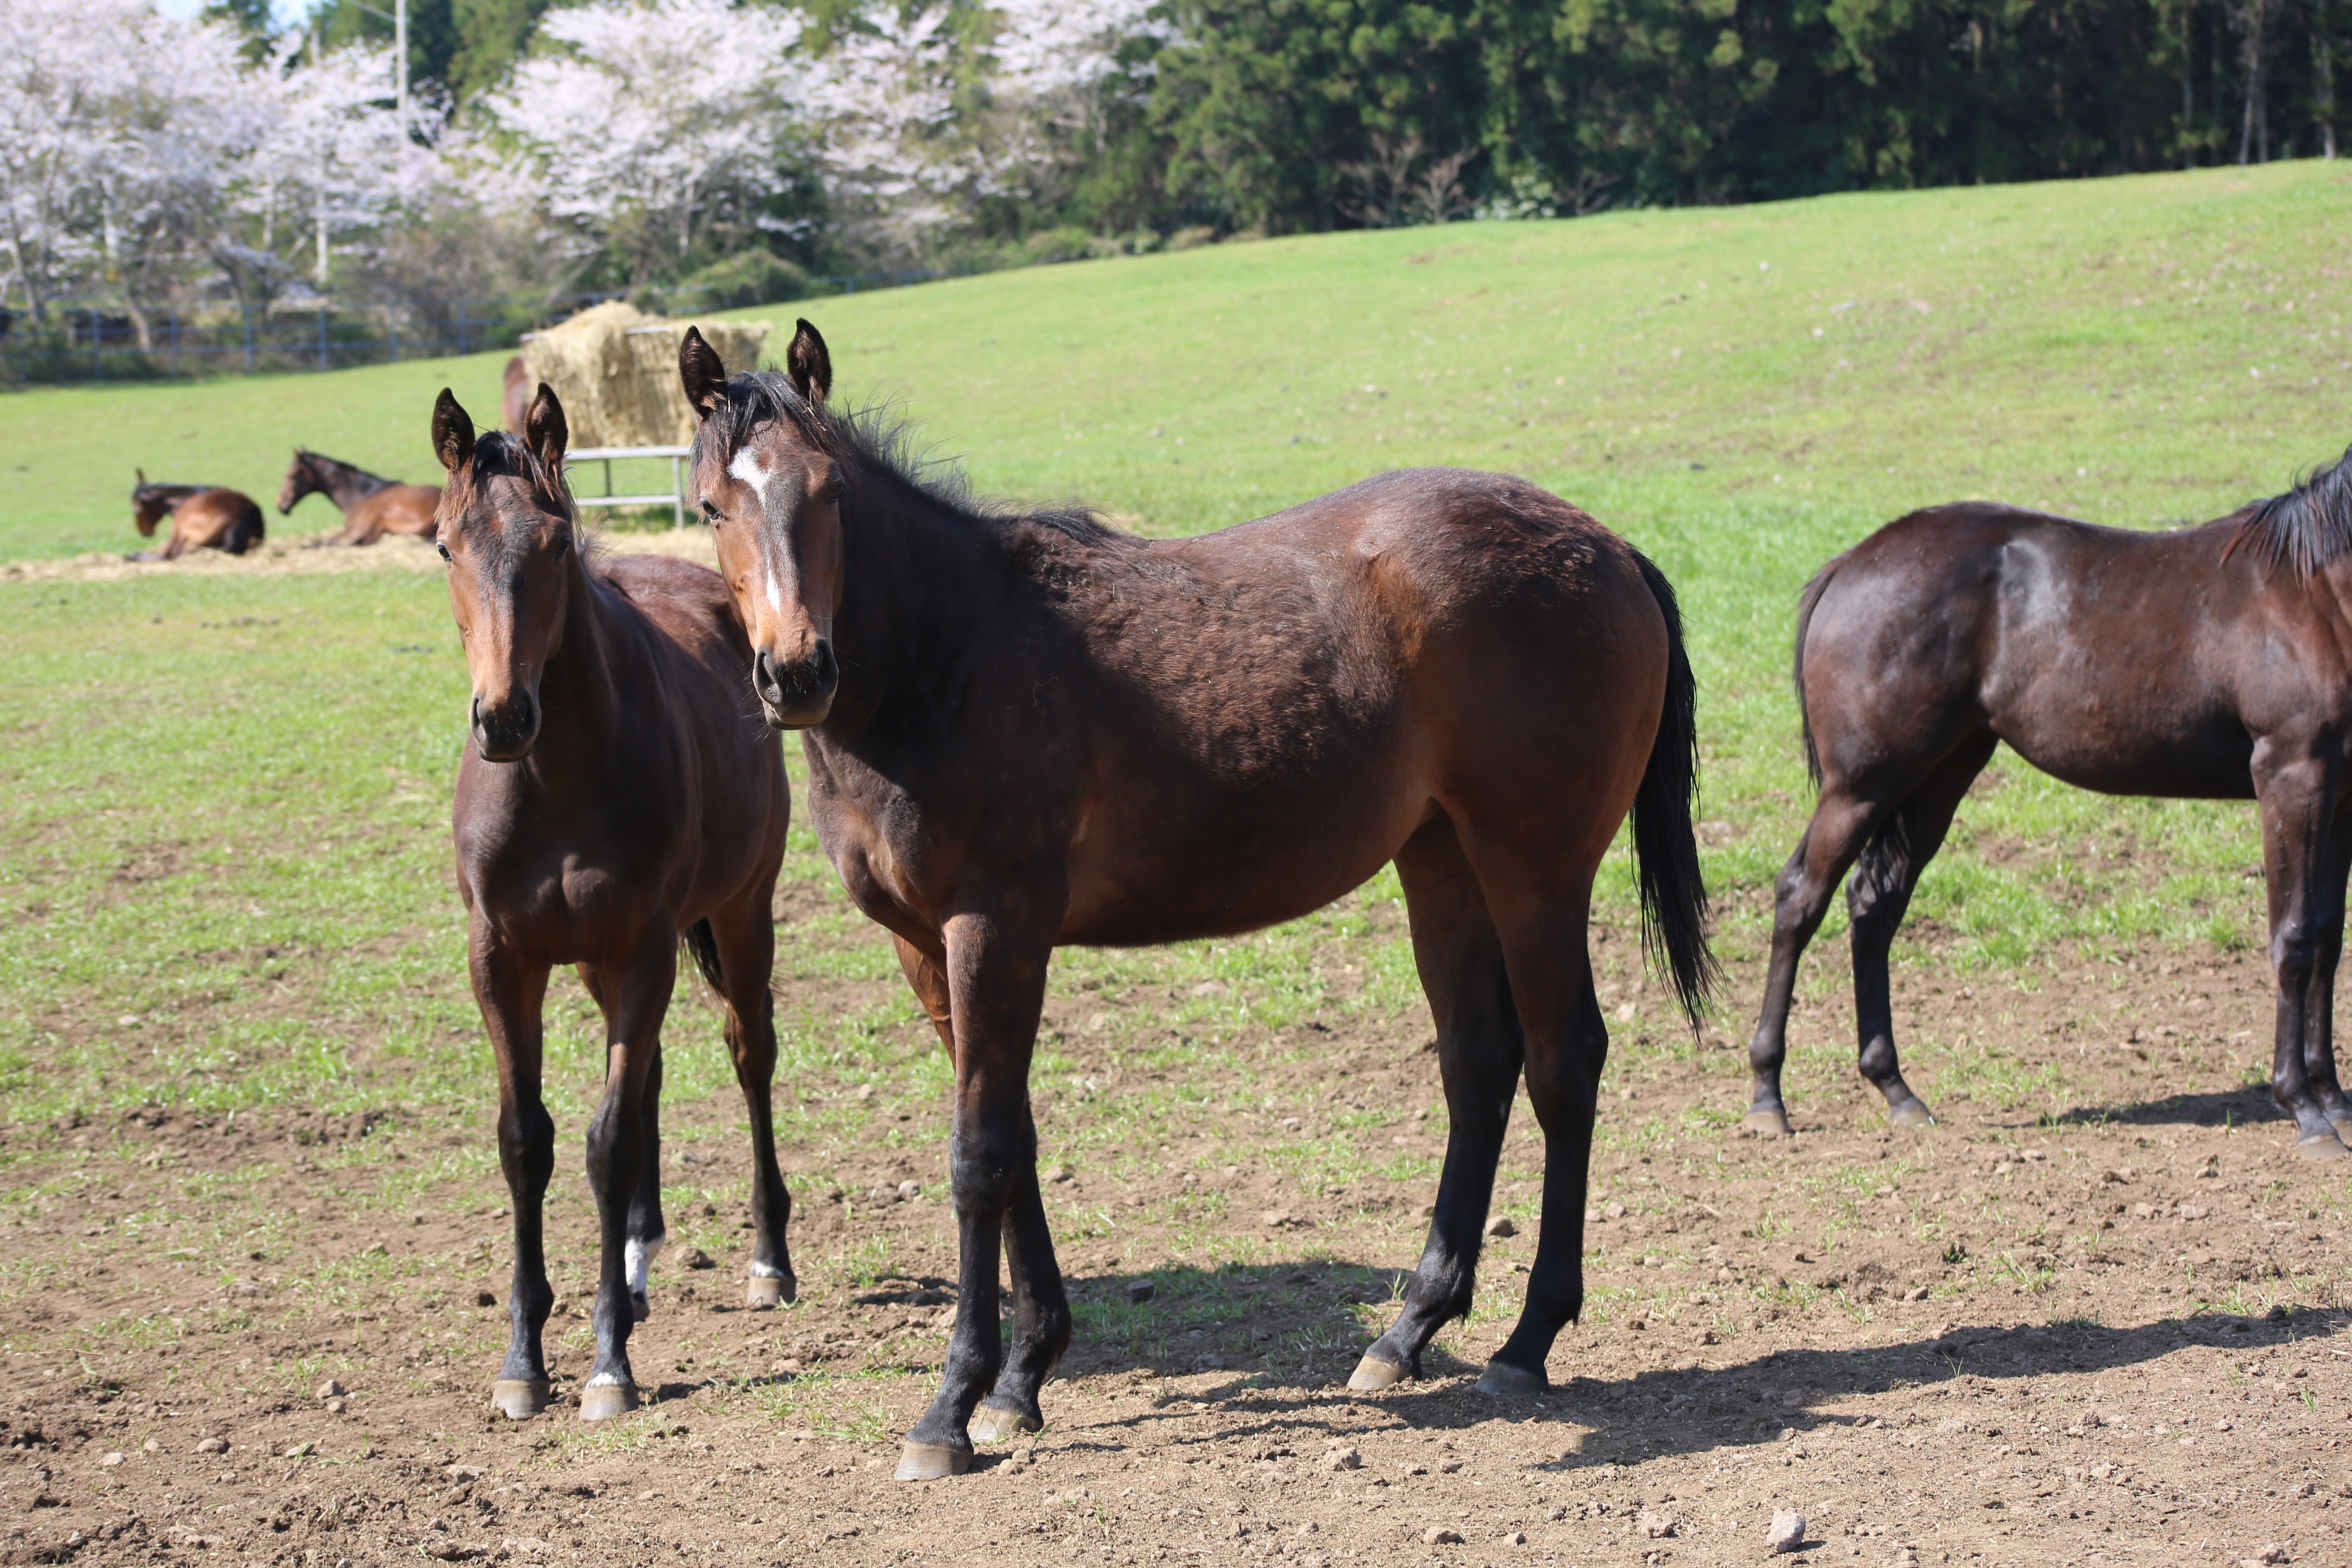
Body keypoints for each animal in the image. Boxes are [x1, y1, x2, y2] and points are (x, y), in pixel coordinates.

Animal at [129, 472, 267, 564]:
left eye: (137, 512)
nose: (145, 532)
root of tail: (240, 517)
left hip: (180, 527)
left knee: (168, 555)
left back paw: (134, 556)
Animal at [437, 376, 804, 1420]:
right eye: (445, 545)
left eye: (556, 543)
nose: (503, 718)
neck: (557, 778)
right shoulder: (503, 957)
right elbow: (527, 1140)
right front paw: (522, 1361)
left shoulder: (640, 945)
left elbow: (603, 1142)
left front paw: (606, 1365)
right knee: (648, 1081)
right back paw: (637, 1263)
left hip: (736, 916)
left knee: (747, 1055)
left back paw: (768, 1261)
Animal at [673, 322, 1722, 1486]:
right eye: (711, 505)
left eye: (832, 495)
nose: (795, 673)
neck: (948, 656)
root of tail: (1606, 547)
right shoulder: (927, 947)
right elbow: (1013, 1140)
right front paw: (1024, 1379)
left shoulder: (995, 929)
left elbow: (978, 1156)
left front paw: (952, 1407)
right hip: (1442, 861)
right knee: (1478, 1067)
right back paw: (1407, 1332)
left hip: (1534, 865)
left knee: (1561, 1064)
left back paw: (1526, 1341)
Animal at [1750, 446, 2352, 1161]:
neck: (2318, 593)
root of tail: (1850, 564)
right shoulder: (2292, 774)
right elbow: (2294, 939)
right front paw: (2305, 1110)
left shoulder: (2342, 789)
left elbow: (2328, 939)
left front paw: (2335, 1101)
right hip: (1863, 785)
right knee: (1801, 898)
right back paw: (1767, 1096)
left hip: (1937, 779)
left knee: (1874, 906)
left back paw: (1896, 1089)